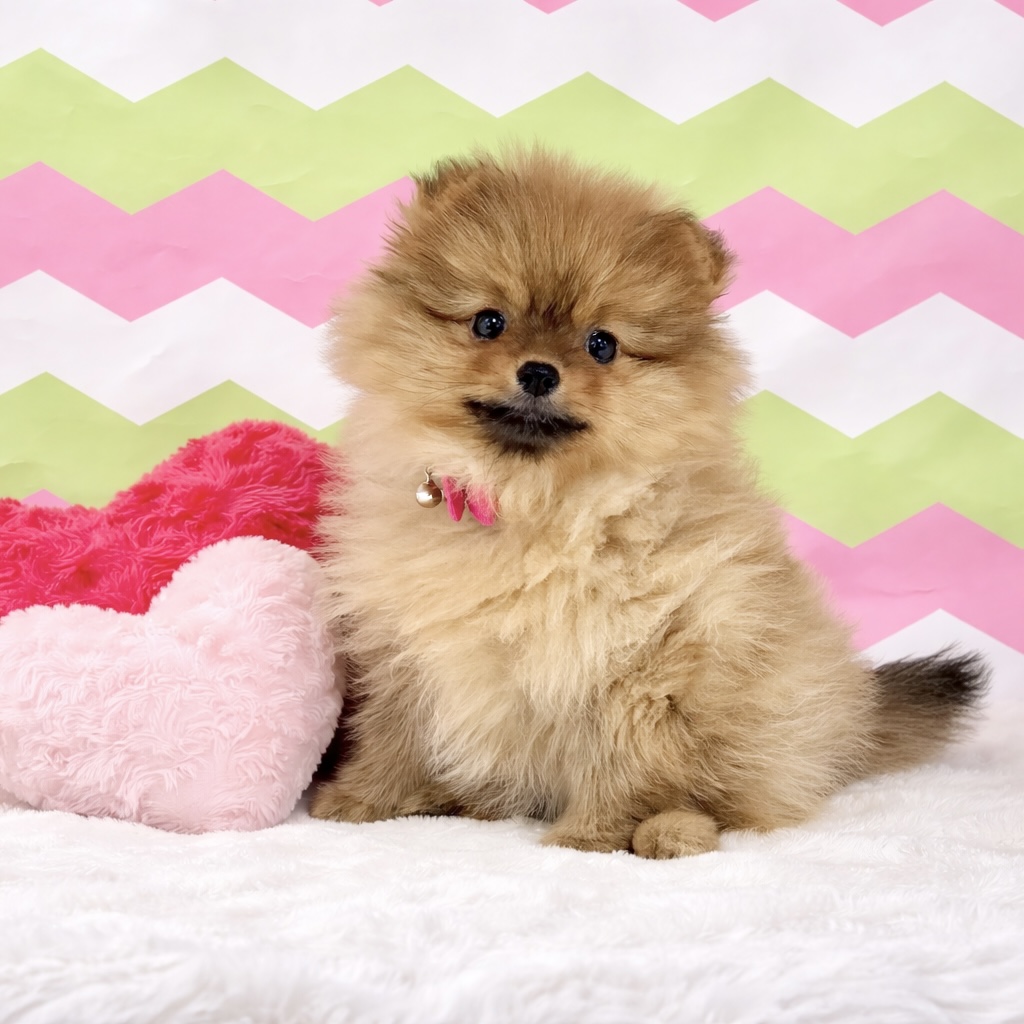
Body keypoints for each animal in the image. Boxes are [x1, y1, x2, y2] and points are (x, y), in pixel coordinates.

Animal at [310, 151, 987, 858]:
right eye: (489, 322)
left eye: (602, 344)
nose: (539, 371)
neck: (531, 506)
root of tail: (852, 719)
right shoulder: (405, 651)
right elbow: (393, 735)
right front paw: (363, 800)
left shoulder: (640, 668)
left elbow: (621, 765)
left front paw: (588, 837)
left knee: (730, 801)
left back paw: (674, 830)